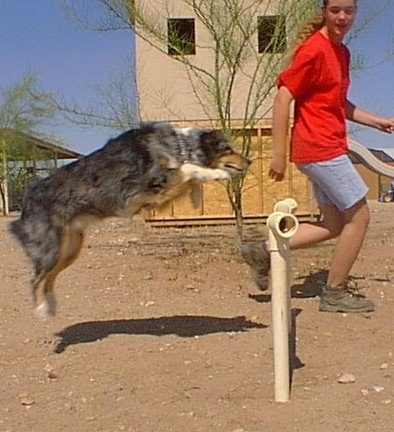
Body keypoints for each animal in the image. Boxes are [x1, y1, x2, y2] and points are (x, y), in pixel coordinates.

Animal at [10, 121, 251, 318]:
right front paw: (218, 175)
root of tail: (26, 200)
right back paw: (41, 310)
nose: (249, 160)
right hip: (49, 248)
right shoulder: (146, 185)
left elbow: (190, 177)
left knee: (49, 278)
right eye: (227, 148)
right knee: (35, 279)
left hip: (70, 249)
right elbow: (189, 169)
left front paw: (195, 197)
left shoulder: (155, 198)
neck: (178, 145)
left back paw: (50, 307)